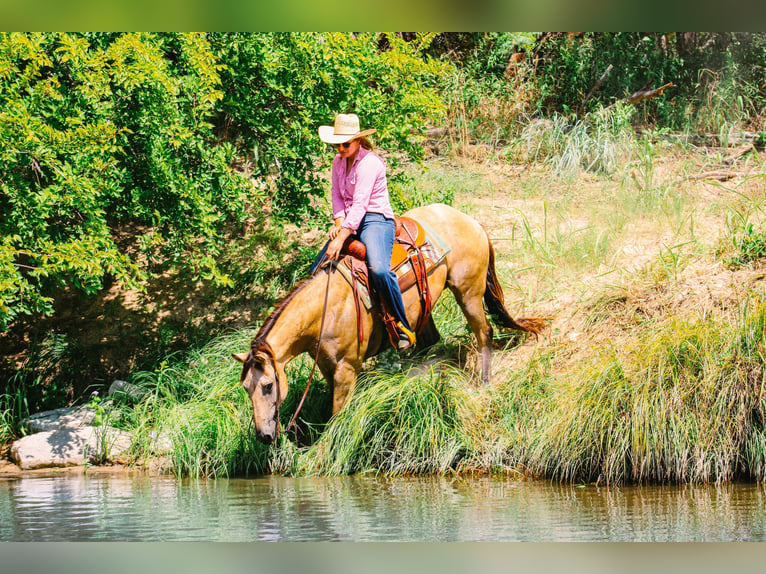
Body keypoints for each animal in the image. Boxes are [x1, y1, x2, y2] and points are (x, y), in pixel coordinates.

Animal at [234, 204, 544, 446]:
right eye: (246, 388)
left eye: (267, 386)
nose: (263, 437)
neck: (325, 310)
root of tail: (470, 220)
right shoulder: (325, 365)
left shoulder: (348, 367)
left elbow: (337, 414)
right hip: (425, 306)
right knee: (430, 340)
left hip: (468, 293)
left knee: (484, 333)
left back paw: (484, 382)